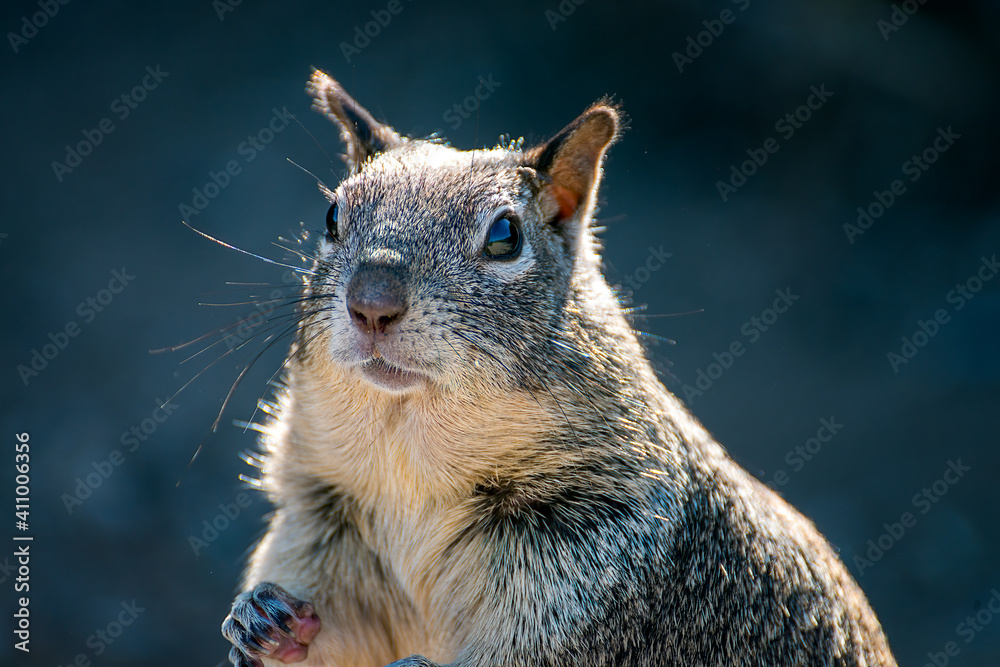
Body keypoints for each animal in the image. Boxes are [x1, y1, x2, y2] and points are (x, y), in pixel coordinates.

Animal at [221, 69, 898, 666]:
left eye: (504, 235)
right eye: (332, 215)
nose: (371, 303)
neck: (407, 462)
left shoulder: (599, 566)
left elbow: (525, 652)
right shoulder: (323, 519)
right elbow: (341, 633)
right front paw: (260, 619)